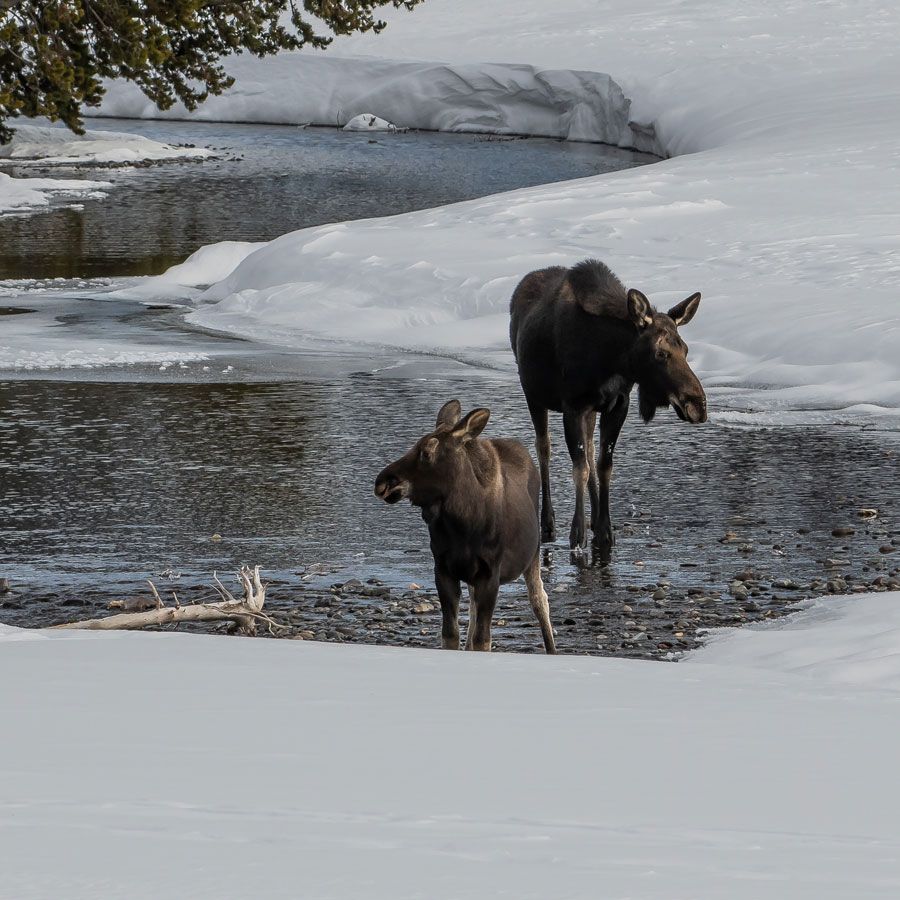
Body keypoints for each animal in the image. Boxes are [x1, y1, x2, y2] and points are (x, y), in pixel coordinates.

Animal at [372, 400, 556, 652]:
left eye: (427, 452)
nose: (382, 482)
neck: (462, 525)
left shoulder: (490, 573)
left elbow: (483, 639)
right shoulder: (443, 569)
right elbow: (451, 634)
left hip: (533, 554)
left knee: (539, 599)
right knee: (474, 608)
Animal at [510, 256, 708, 556]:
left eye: (685, 349)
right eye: (660, 353)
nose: (698, 404)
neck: (609, 359)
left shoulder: (617, 405)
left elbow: (603, 464)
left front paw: (604, 529)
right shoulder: (572, 405)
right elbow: (579, 467)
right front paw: (577, 534)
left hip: (591, 410)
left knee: (591, 449)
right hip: (533, 394)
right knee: (544, 448)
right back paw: (548, 521)